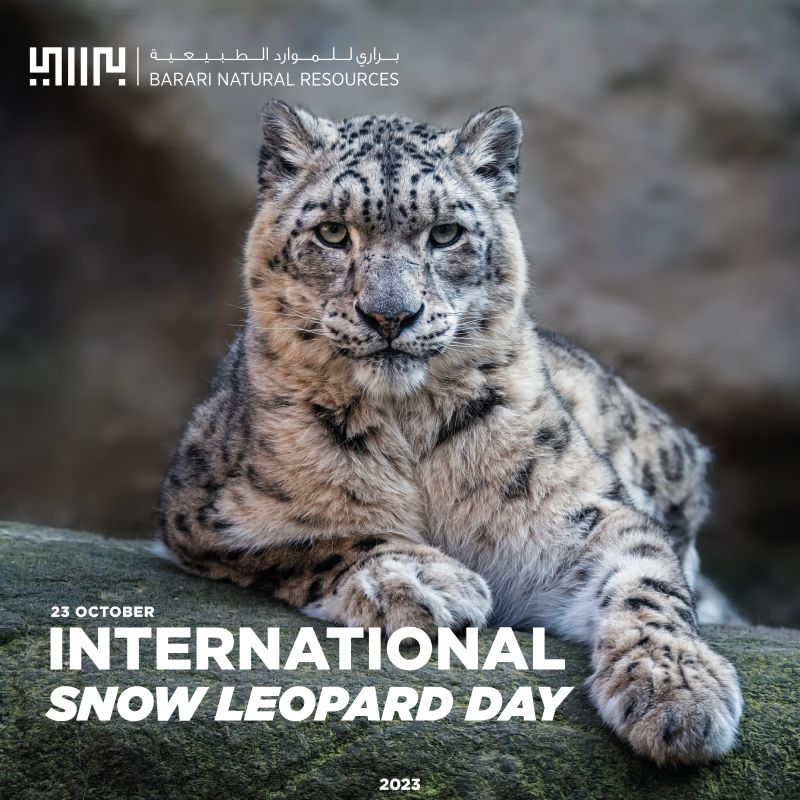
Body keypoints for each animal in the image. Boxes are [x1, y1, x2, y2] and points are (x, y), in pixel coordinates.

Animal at [157, 99, 743, 765]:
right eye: (332, 232)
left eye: (445, 233)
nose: (390, 315)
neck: (408, 427)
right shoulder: (209, 513)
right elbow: (318, 539)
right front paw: (423, 579)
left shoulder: (578, 512)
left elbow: (648, 580)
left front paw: (678, 693)